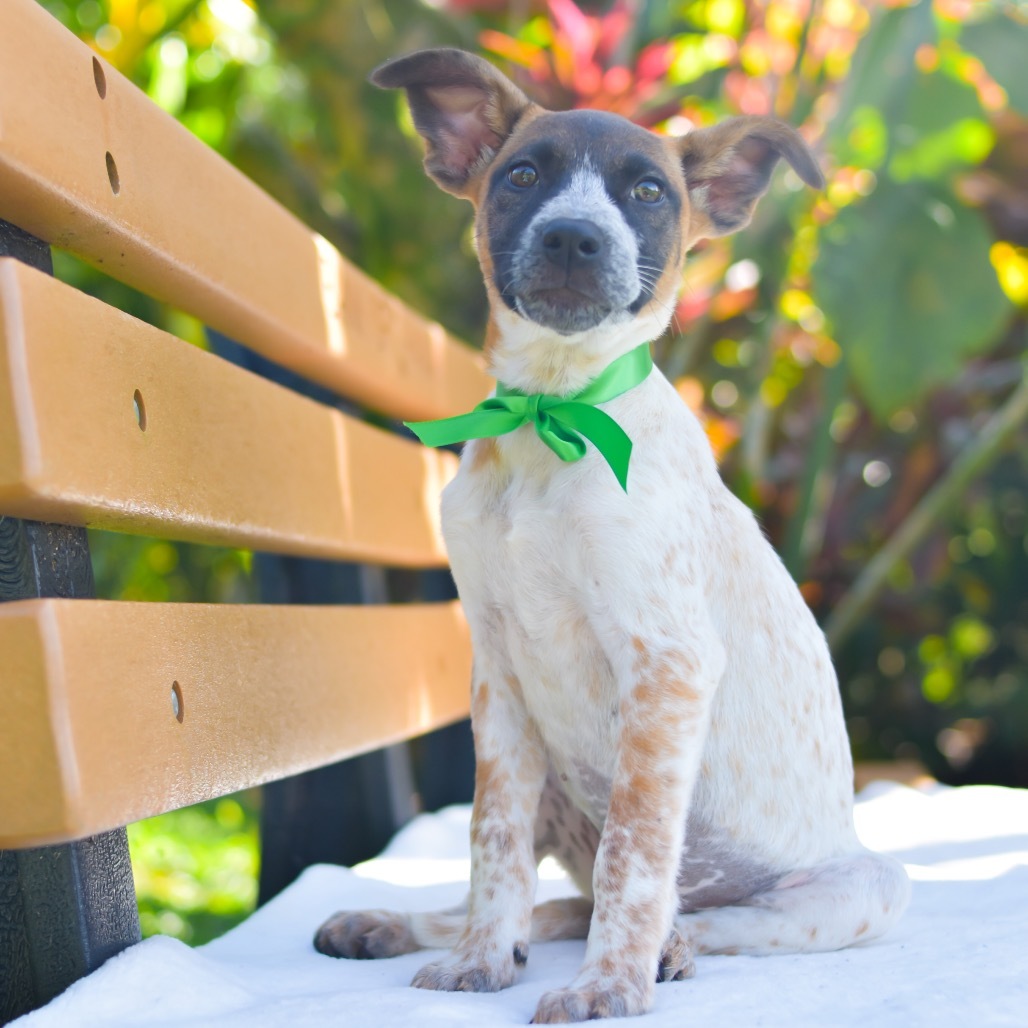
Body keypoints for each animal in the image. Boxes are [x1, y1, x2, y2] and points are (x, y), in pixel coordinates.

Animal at [312, 50, 908, 1028]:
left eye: (648, 192)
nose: (572, 240)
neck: (551, 417)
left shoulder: (668, 664)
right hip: (559, 779)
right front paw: (479, 962)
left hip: (867, 888)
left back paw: (668, 948)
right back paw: (393, 925)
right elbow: (491, 843)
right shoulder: (499, 673)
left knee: (696, 913)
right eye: (522, 177)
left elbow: (636, 850)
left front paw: (609, 986)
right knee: (560, 901)